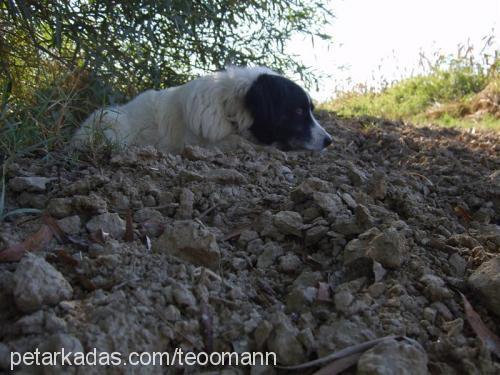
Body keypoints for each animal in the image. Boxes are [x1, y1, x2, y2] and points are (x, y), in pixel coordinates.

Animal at [72, 66, 332, 153]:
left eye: (310, 110)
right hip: (111, 118)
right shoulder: (197, 143)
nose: (330, 141)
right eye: (298, 112)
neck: (228, 109)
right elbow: (238, 142)